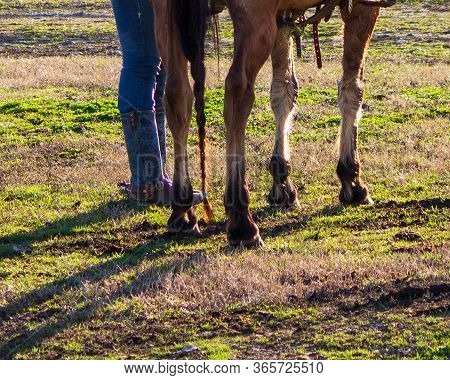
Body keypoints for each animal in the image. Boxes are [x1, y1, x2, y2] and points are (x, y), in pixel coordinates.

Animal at [153, 0, 396, 248]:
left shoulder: (282, 17)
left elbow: (284, 90)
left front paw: (282, 182)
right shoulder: (362, 9)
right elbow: (352, 89)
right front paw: (352, 179)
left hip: (165, 18)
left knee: (177, 95)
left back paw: (182, 210)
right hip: (253, 20)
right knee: (237, 91)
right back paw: (241, 218)